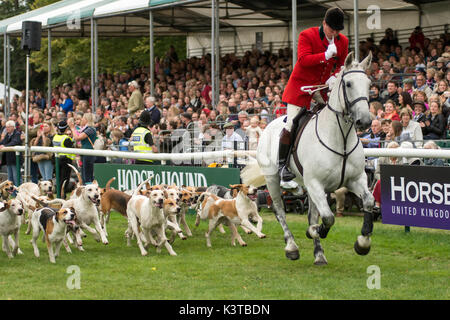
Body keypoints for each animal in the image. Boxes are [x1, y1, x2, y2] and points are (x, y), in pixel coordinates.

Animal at [243, 50, 376, 264]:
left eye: (369, 84)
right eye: (348, 84)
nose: (364, 121)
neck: (340, 138)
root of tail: (267, 126)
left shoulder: (355, 179)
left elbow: (369, 202)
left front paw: (363, 243)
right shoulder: (315, 184)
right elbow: (328, 218)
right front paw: (314, 231)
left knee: (312, 214)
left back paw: (319, 254)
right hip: (273, 180)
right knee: (280, 211)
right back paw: (291, 247)